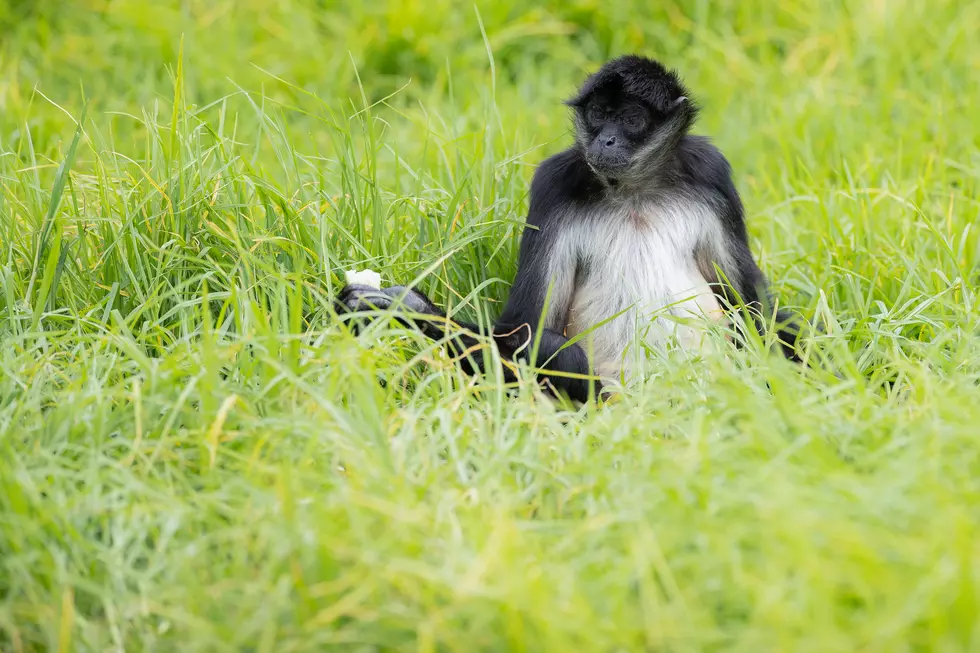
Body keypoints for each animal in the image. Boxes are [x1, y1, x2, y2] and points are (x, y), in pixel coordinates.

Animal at [336, 54, 802, 403]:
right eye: (598, 115)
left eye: (630, 119)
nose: (606, 140)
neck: (635, 190)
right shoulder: (553, 183)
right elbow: (523, 329)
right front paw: (403, 308)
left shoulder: (711, 171)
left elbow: (753, 304)